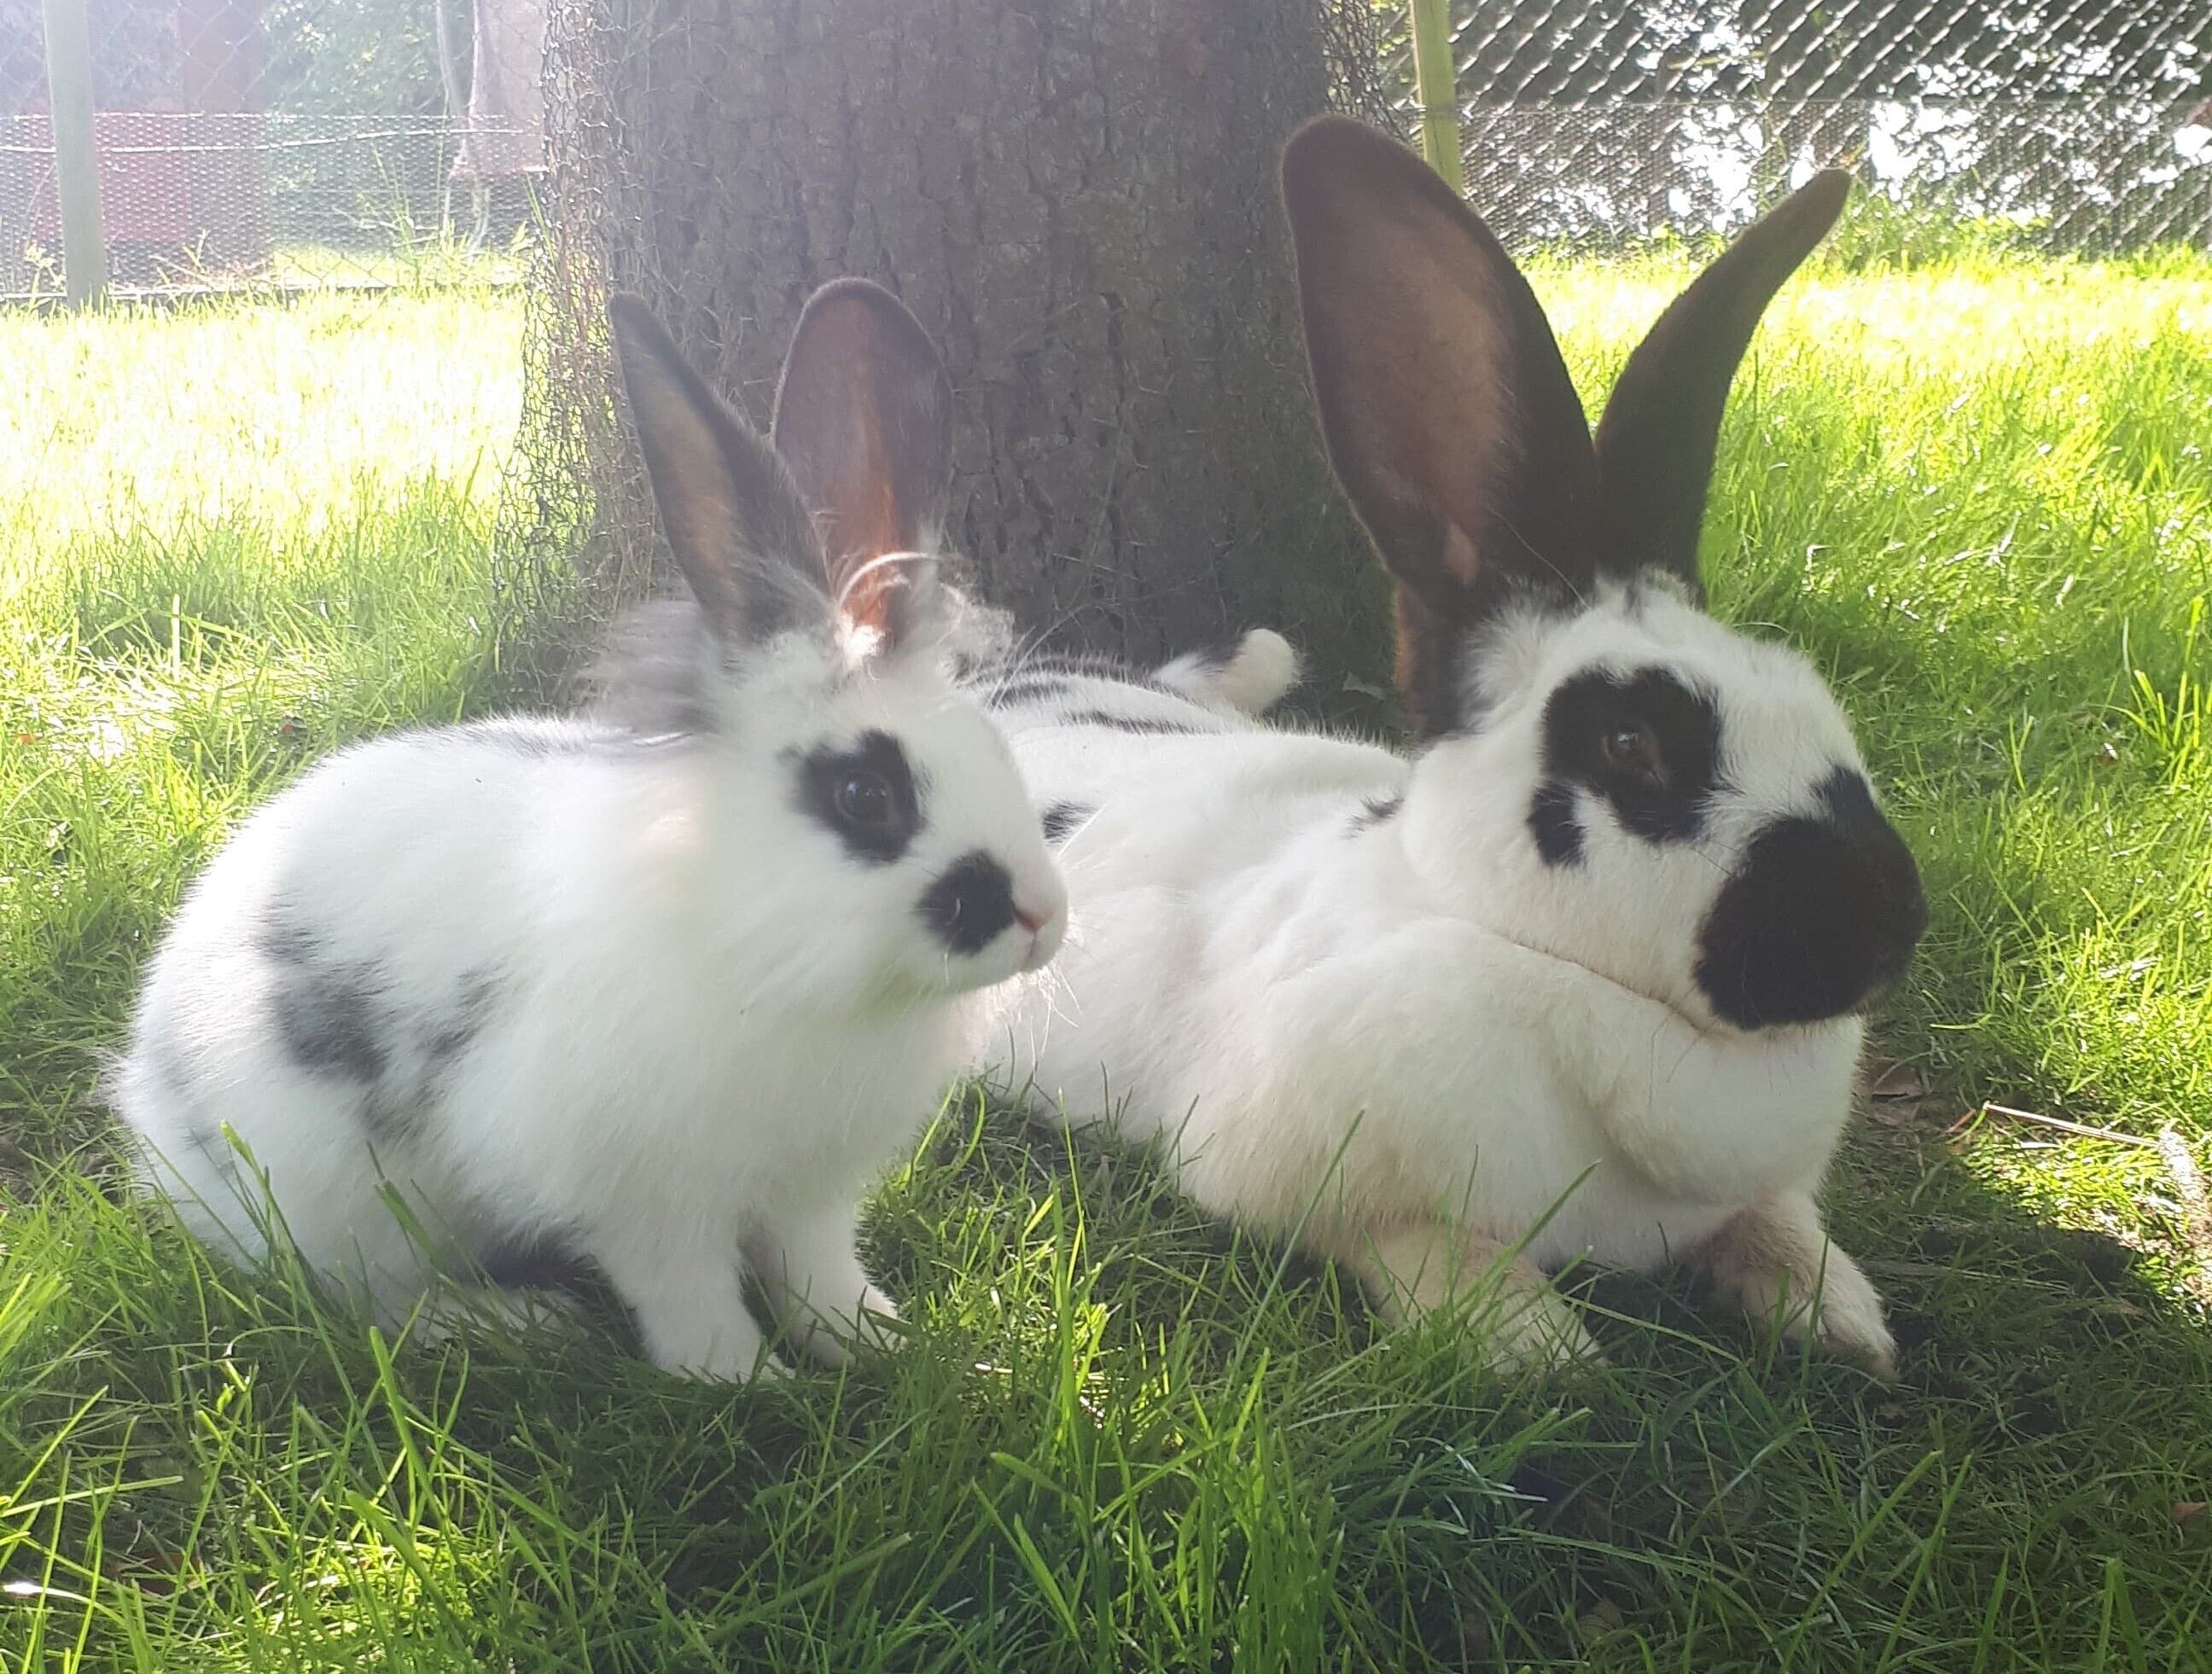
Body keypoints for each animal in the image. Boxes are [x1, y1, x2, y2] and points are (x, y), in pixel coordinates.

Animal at [111, 280, 1068, 1381]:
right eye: (866, 795)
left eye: (997, 749)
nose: (1043, 918)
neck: (765, 946)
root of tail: (150, 1107)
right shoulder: (645, 1195)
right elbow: (687, 1293)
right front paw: (738, 1380)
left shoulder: (811, 1190)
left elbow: (816, 1269)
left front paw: (873, 1340)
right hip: (340, 1191)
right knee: (368, 1300)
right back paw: (512, 1323)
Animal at [966, 117, 1925, 1376]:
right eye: (1630, 742)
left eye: (1813, 700)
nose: (1890, 926)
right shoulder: (1288, 1165)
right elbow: (1411, 1241)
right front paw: (1533, 1342)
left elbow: (1772, 1215)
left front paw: (1840, 1312)